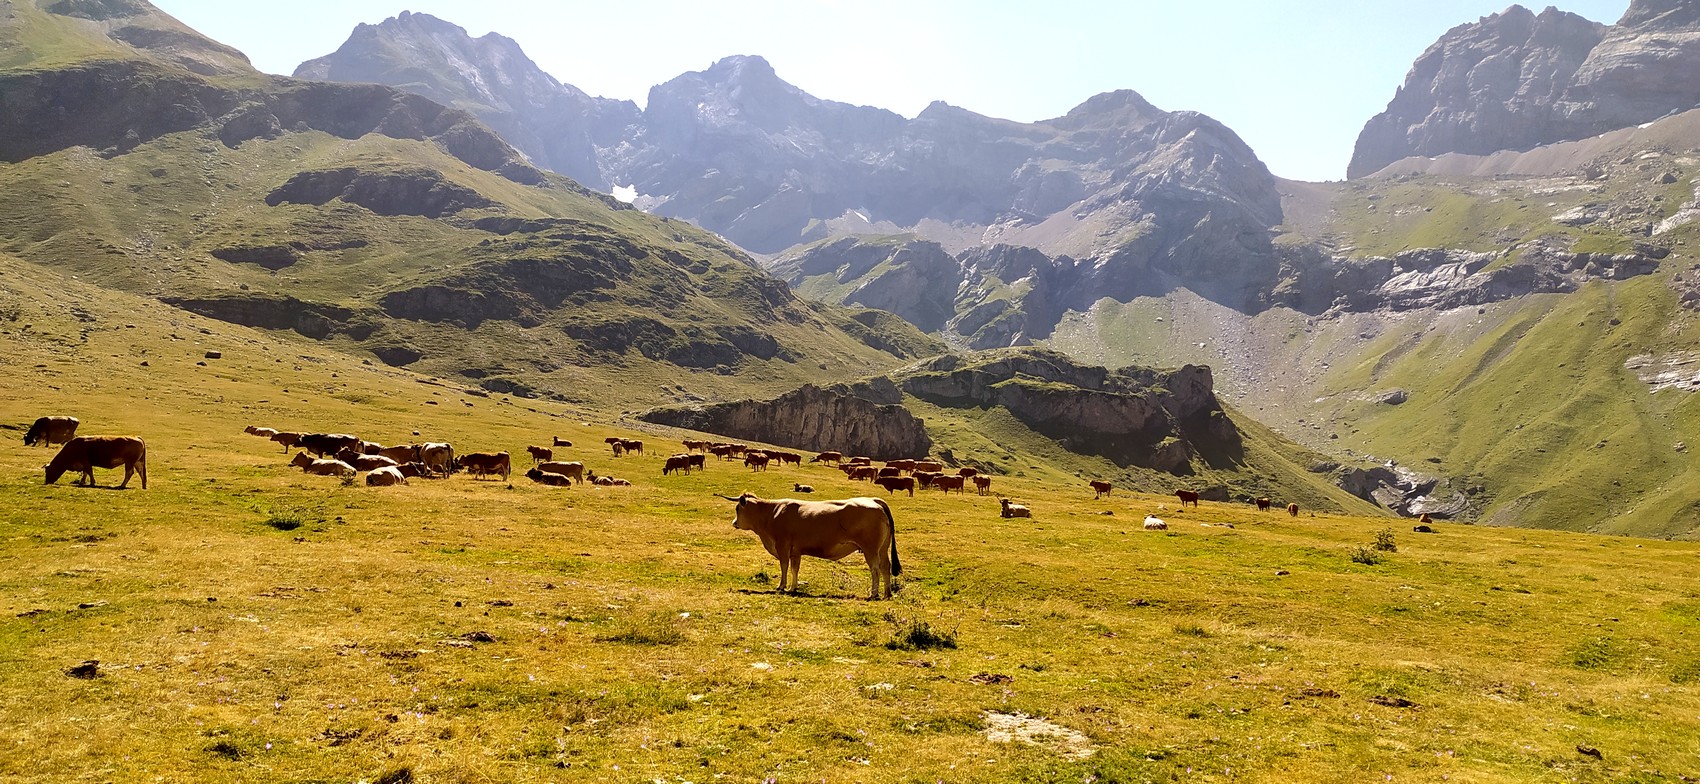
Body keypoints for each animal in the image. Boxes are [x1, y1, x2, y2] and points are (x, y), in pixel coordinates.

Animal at [717, 493, 901, 600]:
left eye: (737, 508)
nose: (734, 523)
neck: (771, 513)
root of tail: (874, 501)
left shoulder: (783, 546)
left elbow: (784, 567)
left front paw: (782, 586)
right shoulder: (796, 551)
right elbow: (794, 569)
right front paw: (793, 588)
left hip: (870, 549)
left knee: (875, 569)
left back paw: (874, 593)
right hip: (882, 549)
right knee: (886, 567)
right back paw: (887, 594)